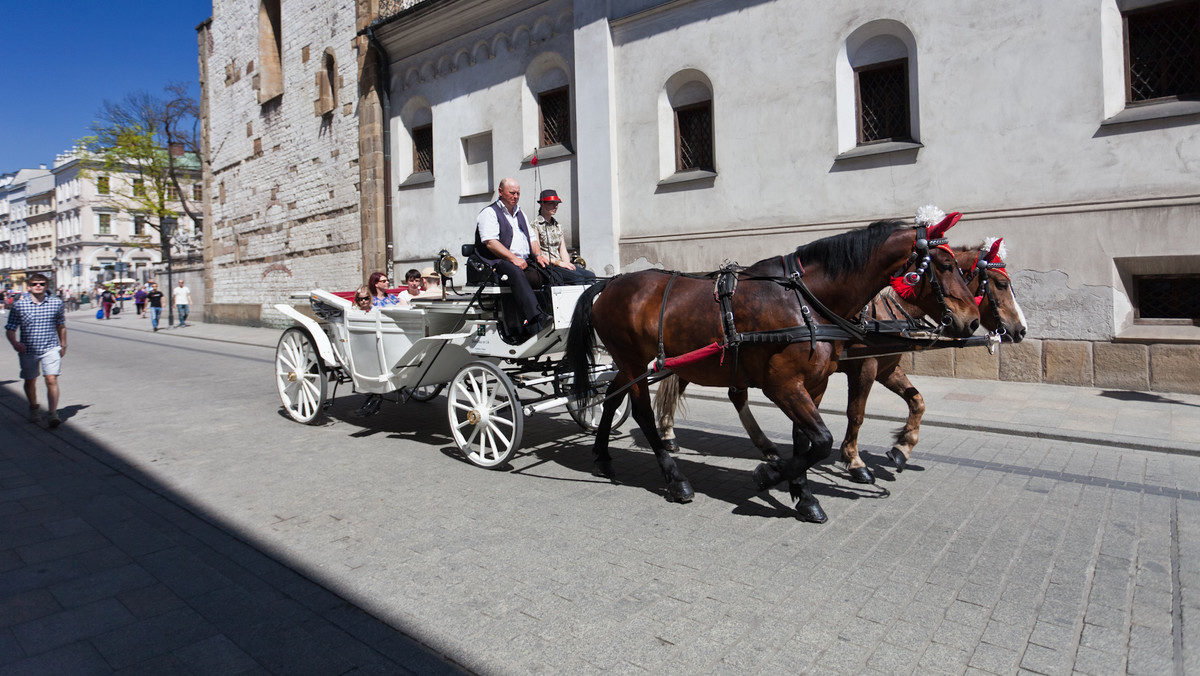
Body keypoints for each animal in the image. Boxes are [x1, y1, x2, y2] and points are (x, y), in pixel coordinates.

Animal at [566, 217, 979, 523]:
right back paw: (675, 478)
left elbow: (805, 441)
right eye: (945, 266)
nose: (972, 321)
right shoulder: (782, 385)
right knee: (641, 413)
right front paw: (771, 475)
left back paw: (602, 457)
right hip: (634, 360)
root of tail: (611, 283)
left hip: (628, 364)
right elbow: (822, 440)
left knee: (610, 399)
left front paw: (804, 495)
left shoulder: (814, 384)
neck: (804, 300)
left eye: (963, 269)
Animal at [652, 237, 1027, 487]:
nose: (1020, 329)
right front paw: (856, 461)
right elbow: (856, 413)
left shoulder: (886, 366)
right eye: (999, 283)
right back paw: (669, 433)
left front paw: (902, 447)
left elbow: (917, 401)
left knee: (721, 392)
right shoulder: (865, 367)